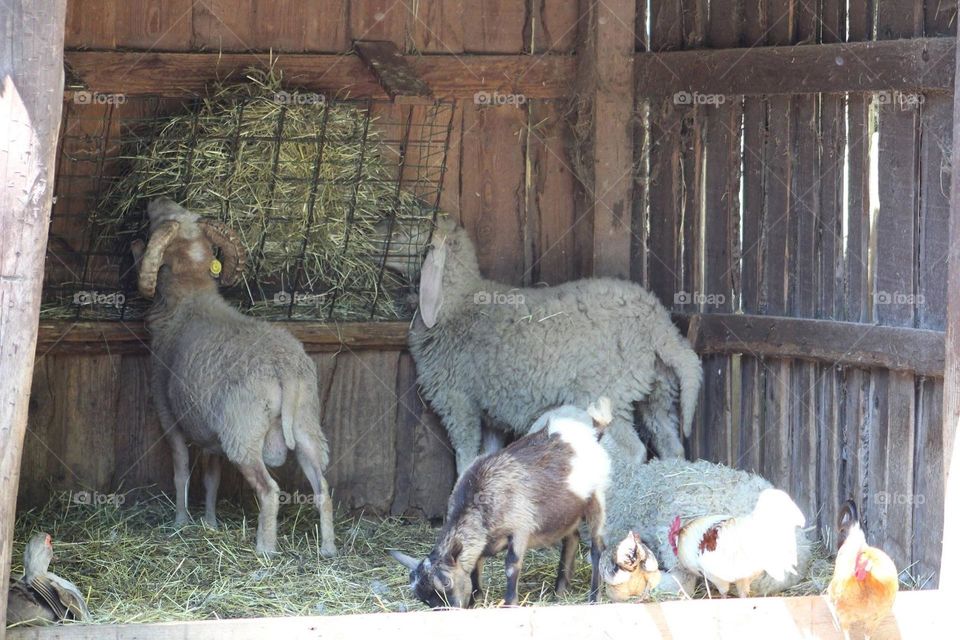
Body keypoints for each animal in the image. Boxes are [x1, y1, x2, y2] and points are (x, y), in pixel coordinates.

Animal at [132, 197, 336, 557]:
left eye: (162, 220)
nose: (154, 202)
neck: (189, 295)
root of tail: (284, 369)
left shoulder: (169, 415)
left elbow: (181, 470)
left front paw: (181, 522)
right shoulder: (211, 435)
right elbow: (211, 479)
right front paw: (211, 523)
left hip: (244, 433)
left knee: (269, 490)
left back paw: (265, 549)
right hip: (307, 425)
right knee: (323, 489)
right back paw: (328, 550)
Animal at [380, 218, 702, 474]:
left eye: (407, 231)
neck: (457, 304)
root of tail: (659, 325)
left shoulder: (458, 400)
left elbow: (465, 459)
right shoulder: (491, 412)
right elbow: (486, 456)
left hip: (609, 393)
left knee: (633, 451)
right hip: (658, 393)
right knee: (671, 446)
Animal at [389, 398, 613, 607]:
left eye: (446, 582)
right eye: (424, 600)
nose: (451, 610)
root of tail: (593, 431)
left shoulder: (521, 528)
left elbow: (511, 566)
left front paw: (509, 603)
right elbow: (475, 568)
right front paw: (476, 599)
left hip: (597, 497)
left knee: (597, 549)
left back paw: (594, 597)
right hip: (566, 511)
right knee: (572, 538)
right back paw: (559, 591)